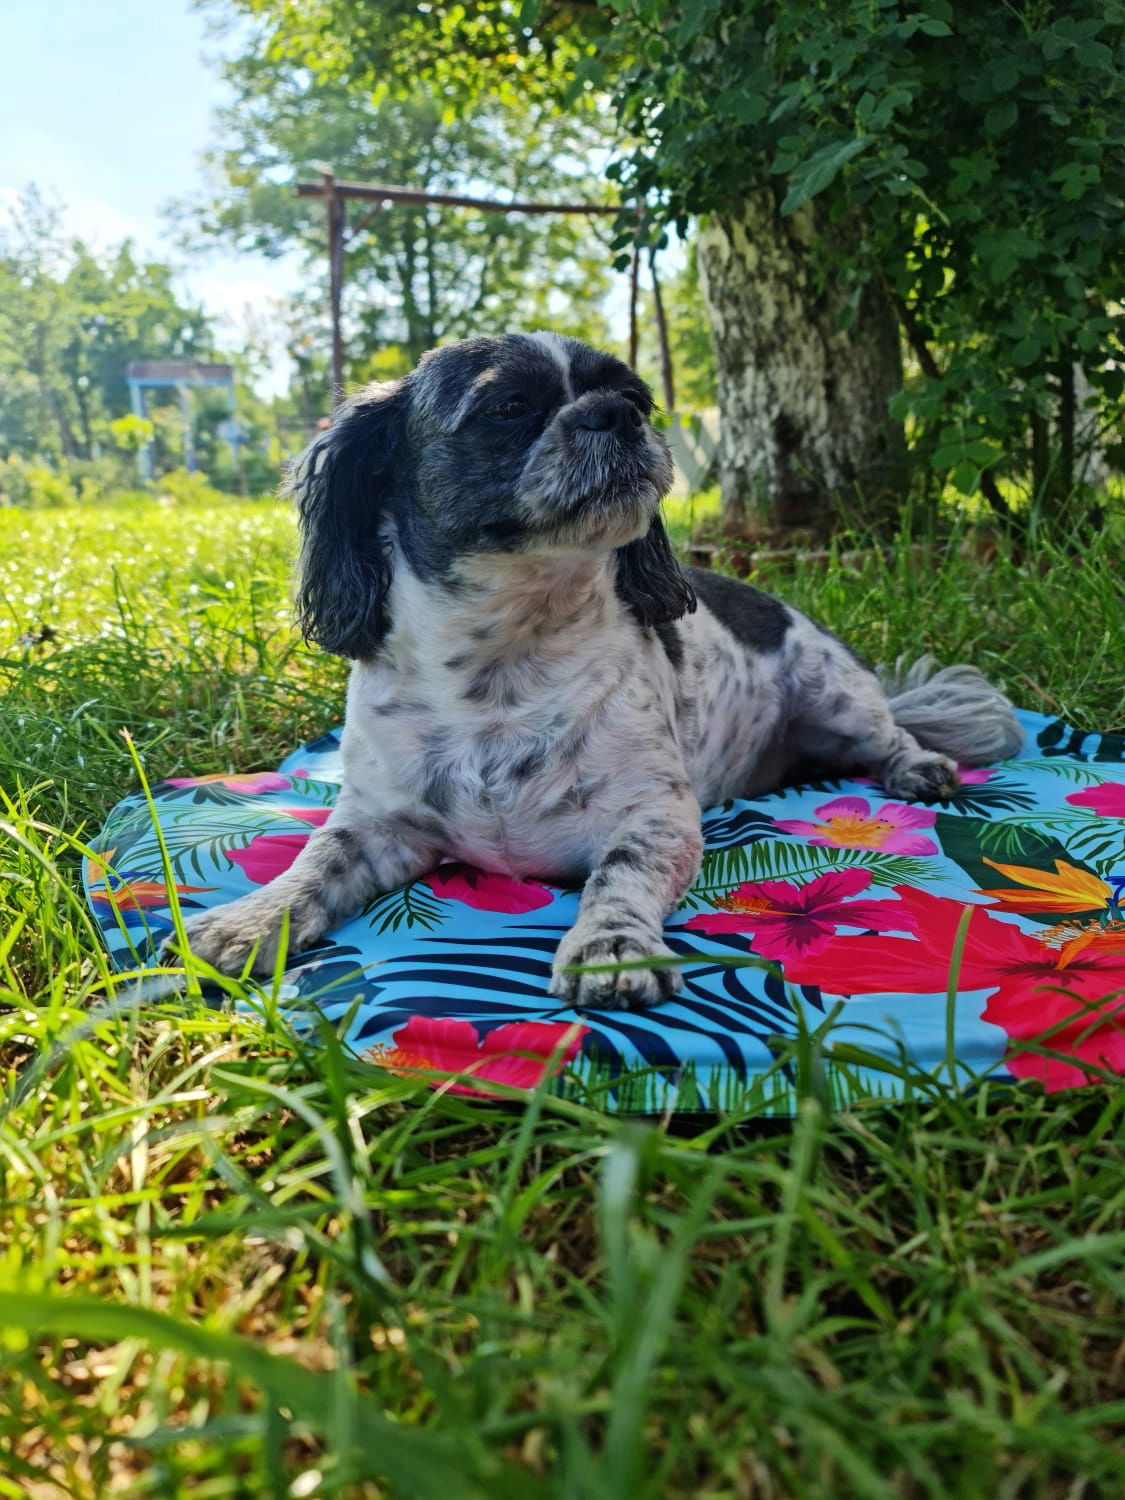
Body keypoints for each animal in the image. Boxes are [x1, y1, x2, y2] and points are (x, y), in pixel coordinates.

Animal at [173, 331, 1022, 1009]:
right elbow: (317, 860)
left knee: (890, 735)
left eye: (635, 395)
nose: (617, 414)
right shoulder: (381, 823)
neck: (503, 667)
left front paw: (609, 948)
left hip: (835, 693)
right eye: (509, 406)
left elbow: (617, 876)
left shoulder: (654, 816)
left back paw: (918, 766)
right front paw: (252, 918)